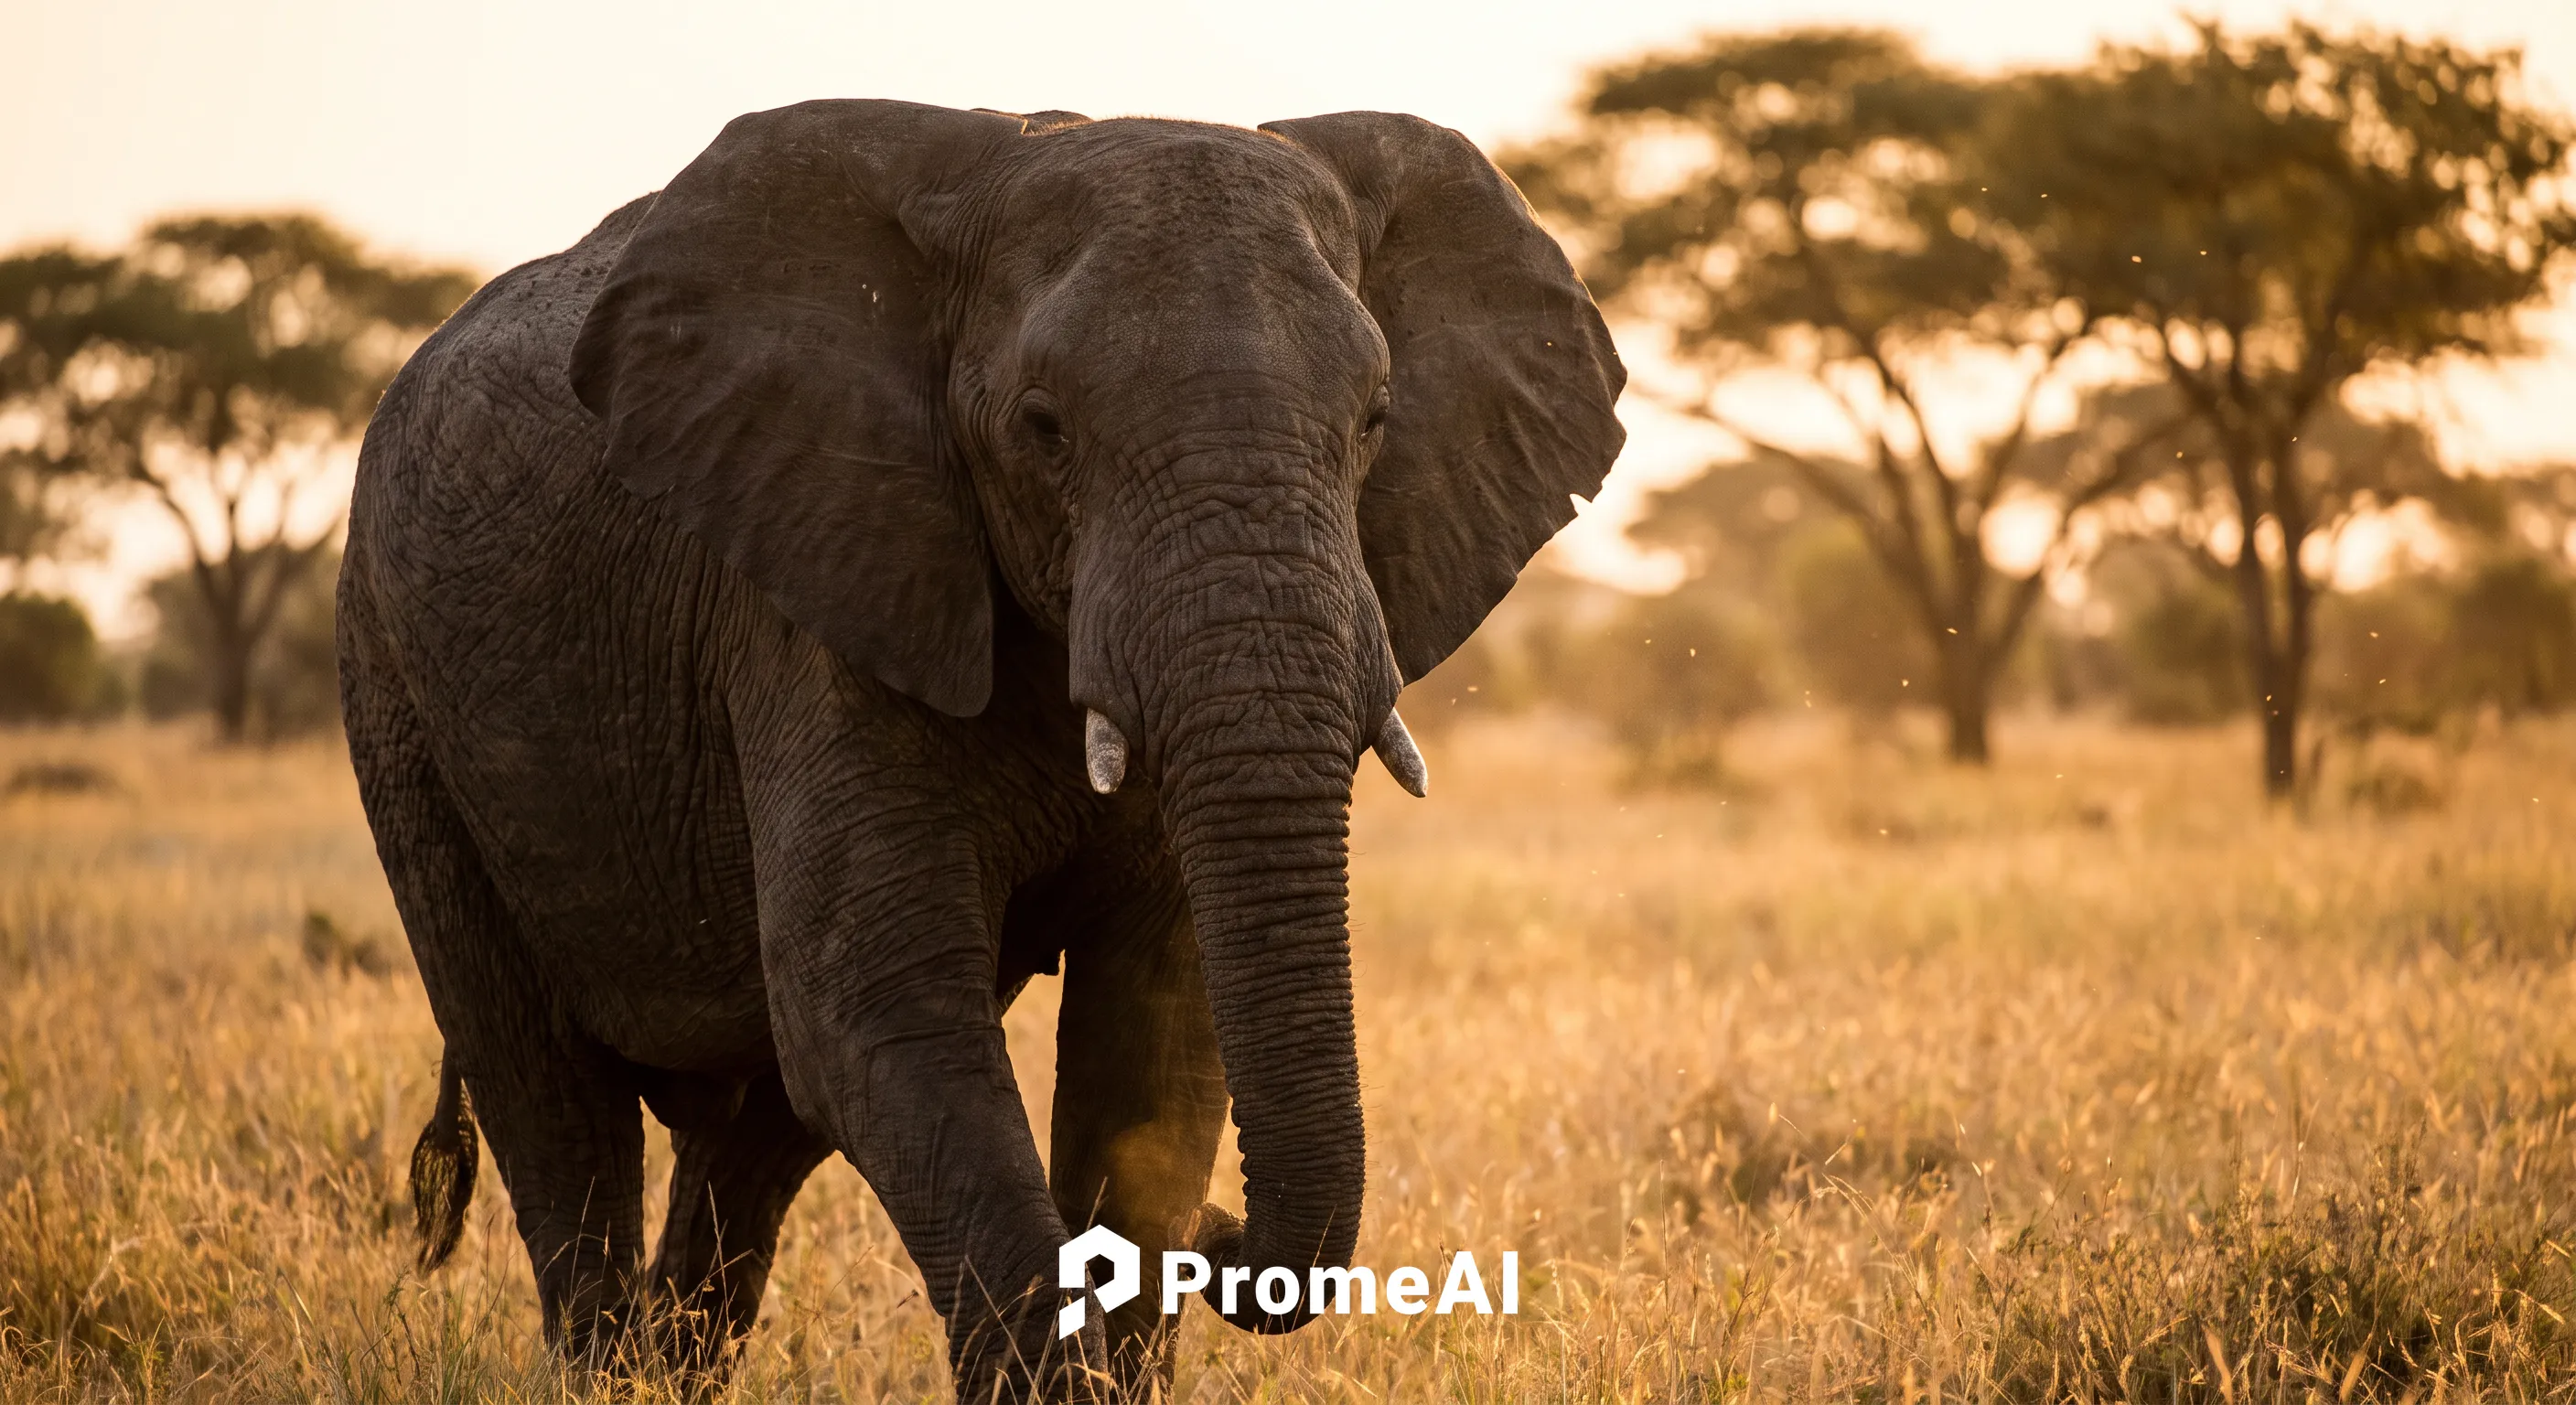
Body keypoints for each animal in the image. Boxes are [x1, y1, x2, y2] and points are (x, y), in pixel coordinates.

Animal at [337, 98, 1623, 1399]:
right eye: (1042, 429)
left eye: (1373, 422)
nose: (1226, 1242)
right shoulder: (818, 594)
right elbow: (876, 1007)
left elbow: (1154, 1032)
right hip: (395, 686)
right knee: (550, 1092)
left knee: (756, 1134)